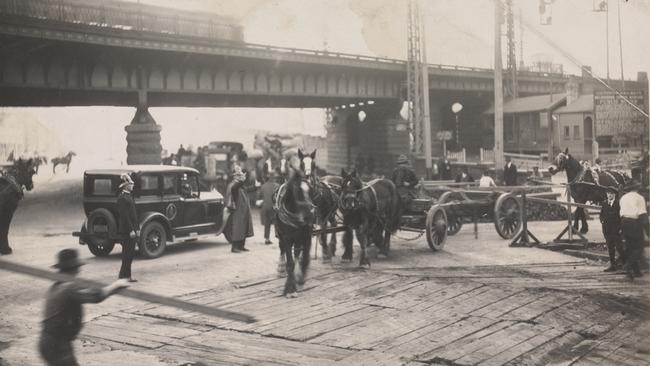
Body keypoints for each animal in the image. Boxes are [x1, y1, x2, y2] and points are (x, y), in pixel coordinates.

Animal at [272, 160, 316, 298]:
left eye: (311, 190)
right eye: (297, 191)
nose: (311, 214)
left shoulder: (307, 235)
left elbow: (305, 258)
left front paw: (300, 278)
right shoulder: (286, 238)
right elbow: (289, 263)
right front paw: (290, 289)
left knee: (297, 252)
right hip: (281, 235)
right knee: (282, 249)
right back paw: (281, 269)